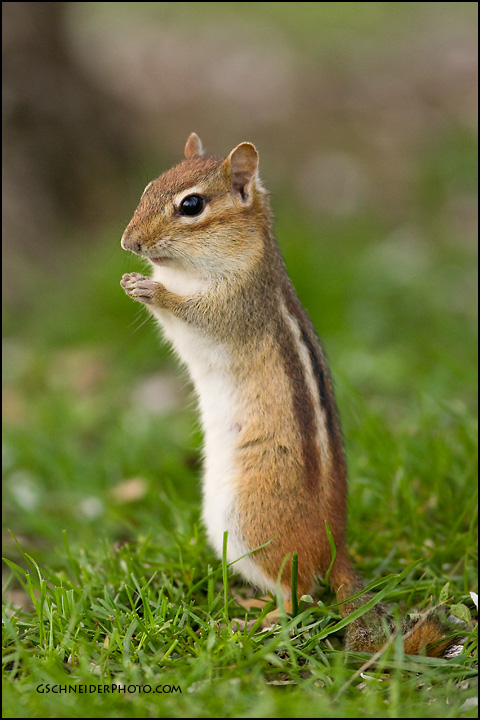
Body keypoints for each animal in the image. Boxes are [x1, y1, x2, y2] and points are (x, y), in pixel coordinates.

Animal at [120, 133, 452, 656]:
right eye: (148, 186)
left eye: (191, 205)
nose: (128, 243)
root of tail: (337, 546)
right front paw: (134, 281)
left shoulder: (236, 303)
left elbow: (194, 314)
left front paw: (150, 290)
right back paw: (253, 604)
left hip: (249, 522)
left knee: (302, 597)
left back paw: (258, 622)